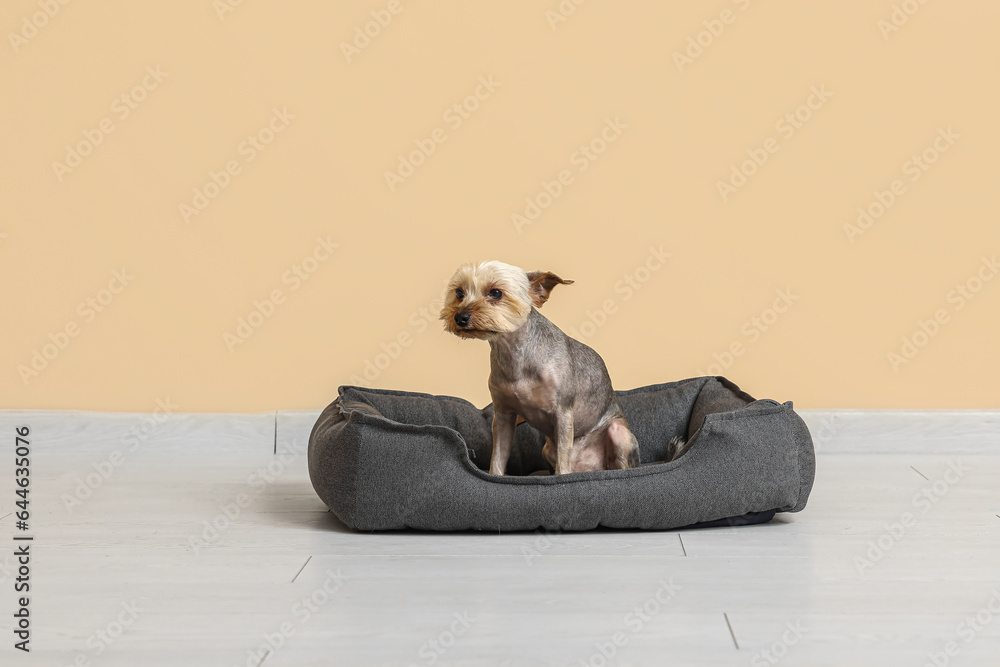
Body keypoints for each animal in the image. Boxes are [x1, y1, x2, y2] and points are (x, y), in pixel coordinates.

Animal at [442, 260, 692, 474]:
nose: (460, 317)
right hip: (547, 448)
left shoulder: (563, 413)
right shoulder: (503, 416)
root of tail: (590, 468)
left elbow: (563, 464)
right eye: (459, 293)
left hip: (618, 433)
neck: (515, 352)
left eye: (495, 293)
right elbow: (498, 459)